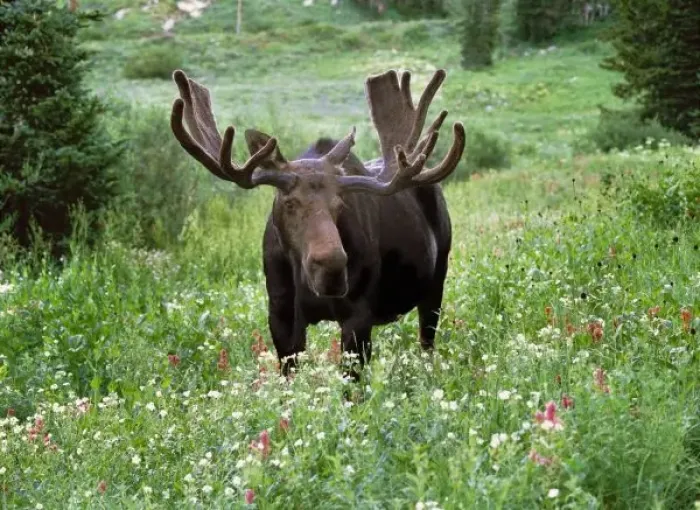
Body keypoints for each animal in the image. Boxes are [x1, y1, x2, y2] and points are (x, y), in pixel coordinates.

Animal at [169, 68, 465, 379]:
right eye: (289, 203)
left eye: (340, 204)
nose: (332, 266)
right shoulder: (281, 313)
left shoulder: (358, 315)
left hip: (436, 281)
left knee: (427, 342)